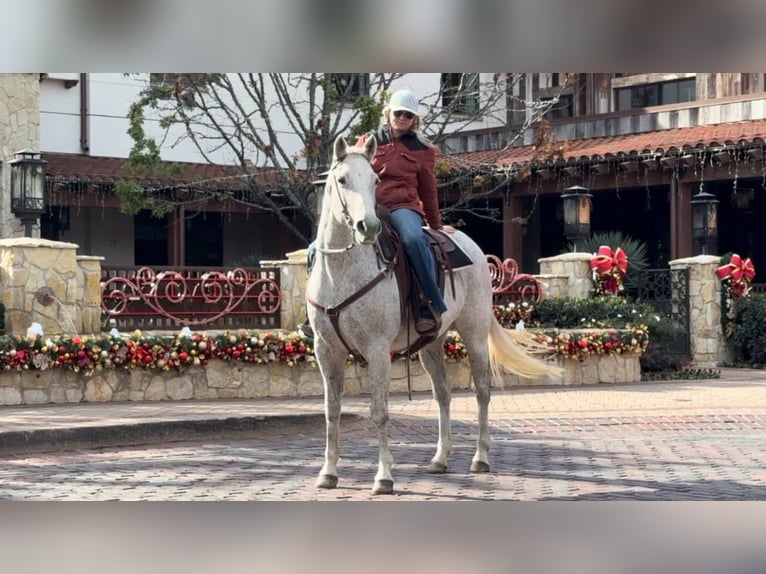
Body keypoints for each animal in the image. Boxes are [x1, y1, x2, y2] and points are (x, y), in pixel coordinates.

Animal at [308, 135, 564, 496]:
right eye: (342, 180)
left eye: (374, 181)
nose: (367, 227)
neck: (342, 272)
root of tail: (471, 246)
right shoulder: (326, 350)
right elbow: (332, 413)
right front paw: (328, 472)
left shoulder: (377, 350)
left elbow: (379, 412)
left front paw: (384, 476)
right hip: (431, 344)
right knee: (442, 394)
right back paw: (441, 458)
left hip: (474, 334)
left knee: (482, 391)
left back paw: (480, 458)